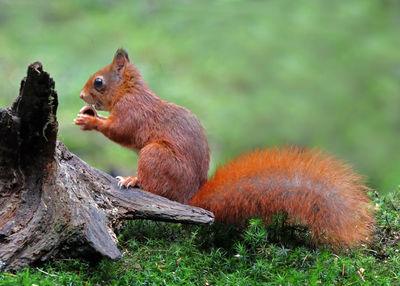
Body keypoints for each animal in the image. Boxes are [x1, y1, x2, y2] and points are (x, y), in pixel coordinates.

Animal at [74, 49, 376, 248]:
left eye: (99, 81)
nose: (80, 95)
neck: (128, 91)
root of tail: (189, 199)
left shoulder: (133, 112)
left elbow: (120, 130)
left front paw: (90, 121)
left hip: (155, 155)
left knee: (154, 188)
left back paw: (132, 179)